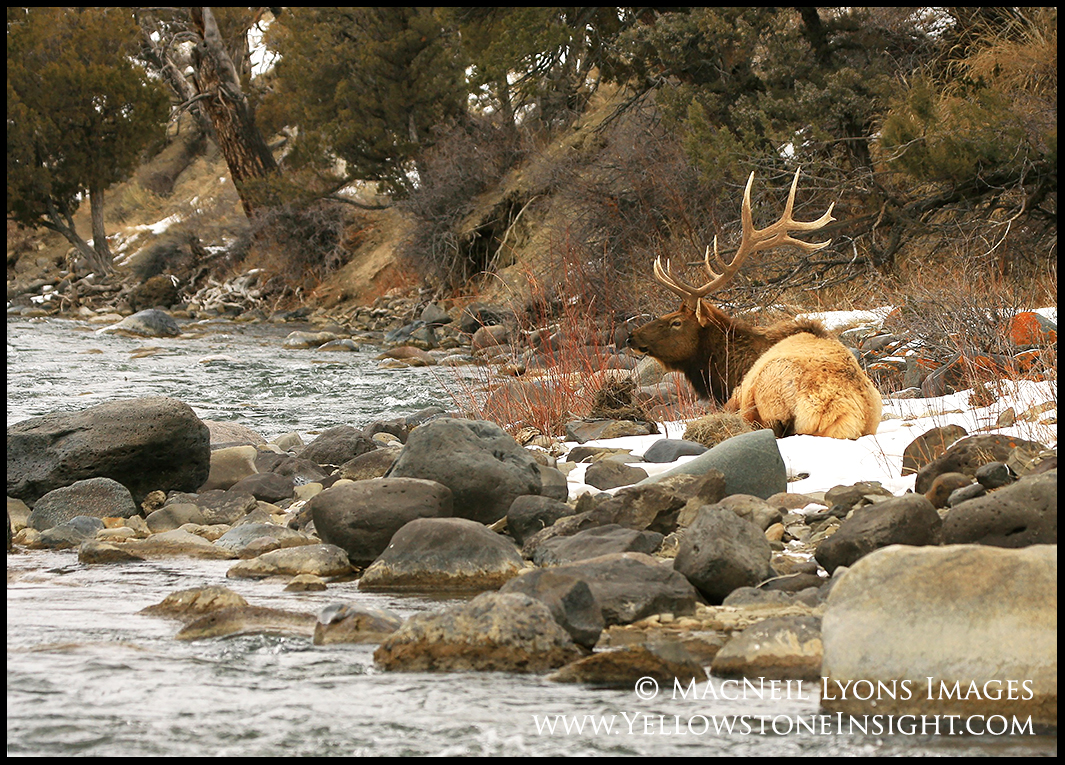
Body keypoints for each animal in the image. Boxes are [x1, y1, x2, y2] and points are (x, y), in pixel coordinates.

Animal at [626, 170, 886, 441]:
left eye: (676, 322)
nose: (631, 336)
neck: (729, 370)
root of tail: (839, 412)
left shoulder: (737, 393)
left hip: (766, 392)